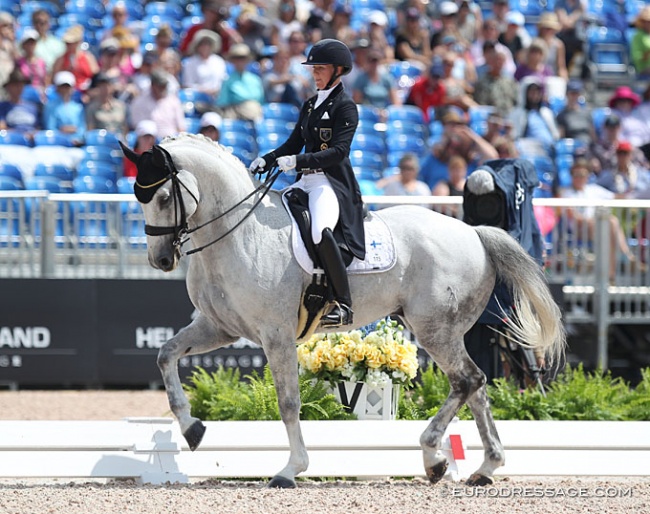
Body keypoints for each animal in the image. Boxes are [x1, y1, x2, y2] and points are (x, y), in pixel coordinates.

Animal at [120, 134, 560, 486]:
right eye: (139, 199)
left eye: (163, 197)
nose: (160, 259)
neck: (238, 234)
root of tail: (474, 232)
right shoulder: (219, 327)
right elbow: (165, 356)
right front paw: (192, 429)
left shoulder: (276, 335)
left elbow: (288, 402)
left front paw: (290, 469)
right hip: (445, 331)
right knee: (476, 386)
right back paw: (484, 467)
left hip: (435, 329)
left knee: (468, 381)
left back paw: (434, 456)